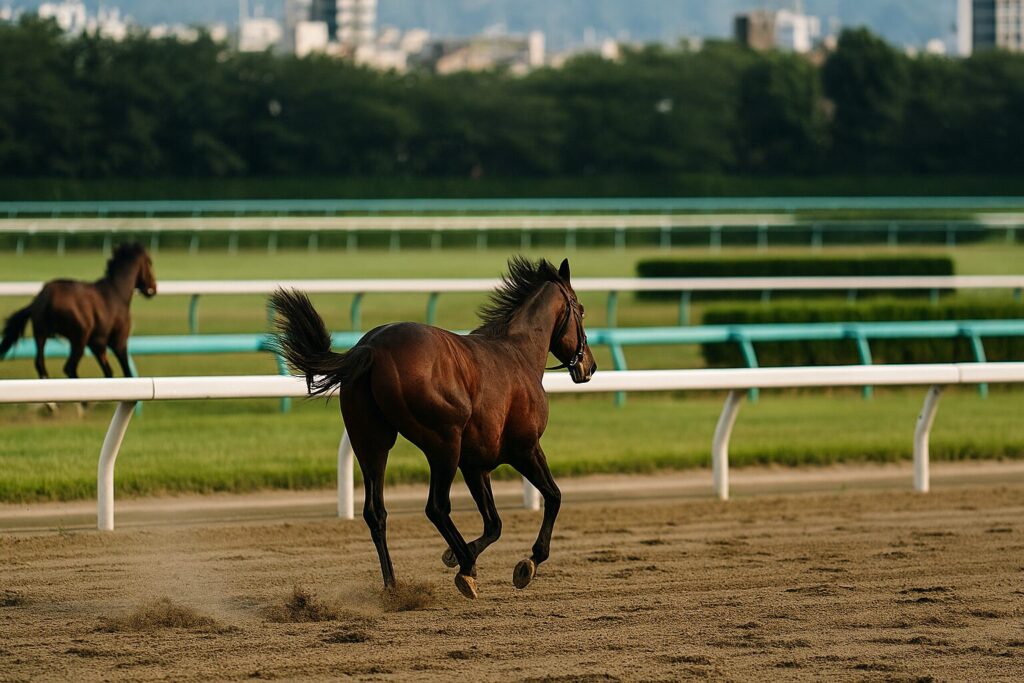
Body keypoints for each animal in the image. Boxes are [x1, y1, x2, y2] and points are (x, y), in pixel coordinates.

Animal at [0, 243, 157, 381]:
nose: (153, 288)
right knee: (69, 367)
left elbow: (109, 372)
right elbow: (126, 372)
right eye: (149, 262)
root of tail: (45, 297)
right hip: (79, 337)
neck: (117, 292)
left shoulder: (97, 344)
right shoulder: (118, 341)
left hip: (41, 334)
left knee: (41, 364)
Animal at [270, 257, 597, 600]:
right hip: (443, 444)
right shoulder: (525, 449)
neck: (518, 353)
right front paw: (526, 562)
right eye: (581, 309)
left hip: (371, 443)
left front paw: (456, 554)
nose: (589, 366)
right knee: (436, 507)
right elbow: (553, 496)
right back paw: (467, 568)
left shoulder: (476, 465)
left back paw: (394, 586)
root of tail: (371, 348)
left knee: (376, 512)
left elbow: (494, 523)